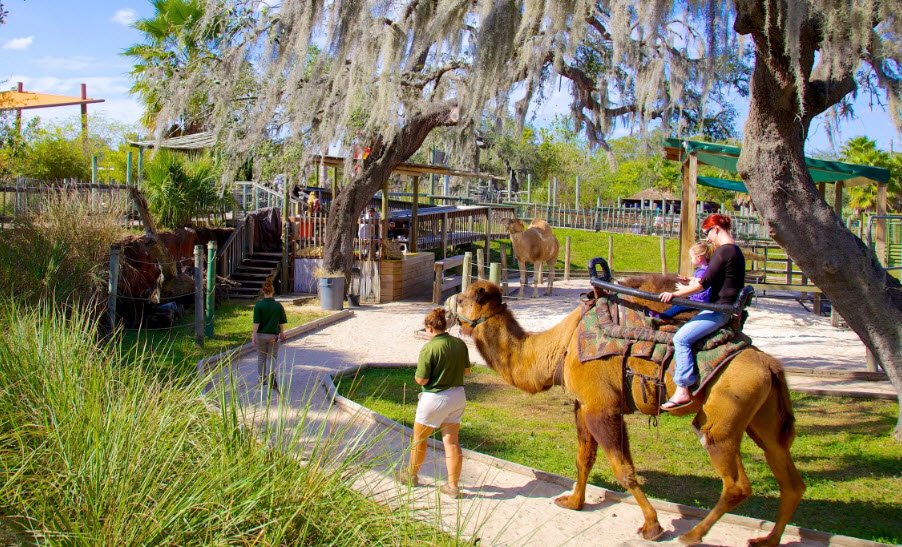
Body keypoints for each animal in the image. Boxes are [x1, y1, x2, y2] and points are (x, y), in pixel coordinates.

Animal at [448, 279, 805, 546]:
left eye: (463, 299)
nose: (446, 303)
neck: (560, 347)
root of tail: (771, 366)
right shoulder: (585, 404)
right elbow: (585, 458)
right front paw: (573, 502)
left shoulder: (602, 407)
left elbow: (624, 469)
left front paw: (652, 526)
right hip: (761, 420)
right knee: (789, 477)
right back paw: (767, 539)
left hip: (722, 419)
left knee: (736, 483)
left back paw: (692, 534)